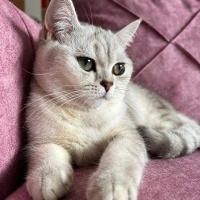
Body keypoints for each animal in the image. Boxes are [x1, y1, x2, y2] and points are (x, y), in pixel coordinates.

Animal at [25, 0, 200, 200]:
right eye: (86, 63)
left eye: (119, 68)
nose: (108, 84)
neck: (85, 114)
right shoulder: (40, 138)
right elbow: (45, 151)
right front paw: (47, 177)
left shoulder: (128, 135)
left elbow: (120, 157)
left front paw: (111, 186)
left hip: (162, 118)